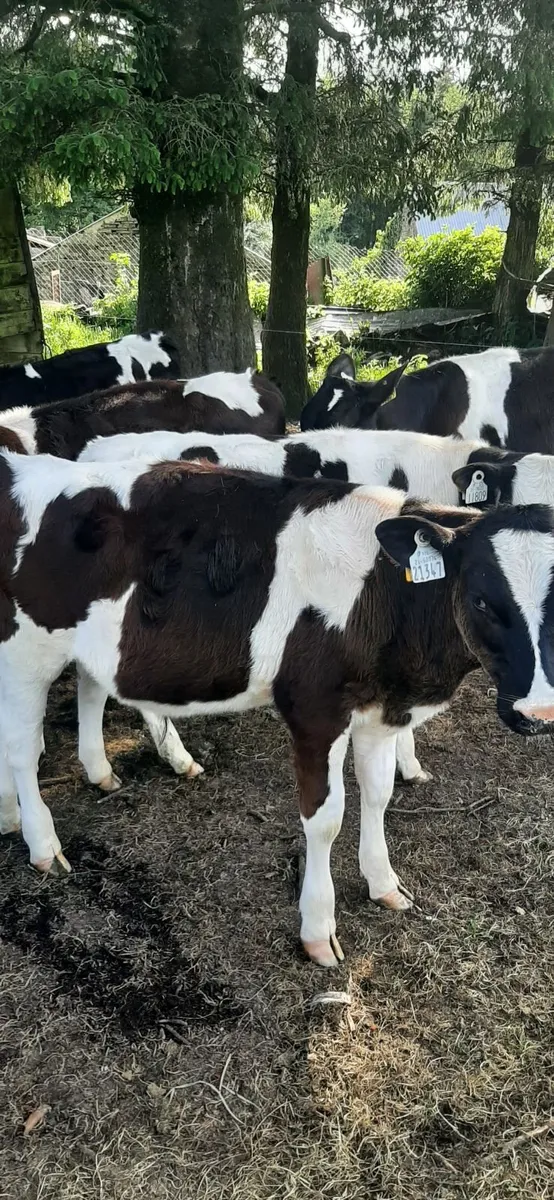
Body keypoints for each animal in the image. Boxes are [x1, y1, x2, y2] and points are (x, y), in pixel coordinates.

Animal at [1, 452, 554, 967]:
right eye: (480, 599)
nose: (539, 714)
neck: (384, 593)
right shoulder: (315, 709)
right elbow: (325, 817)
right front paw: (318, 929)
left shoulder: (383, 709)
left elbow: (379, 795)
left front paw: (383, 883)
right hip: (25, 651)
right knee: (24, 749)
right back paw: (42, 844)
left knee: (82, 693)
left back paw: (65, 789)